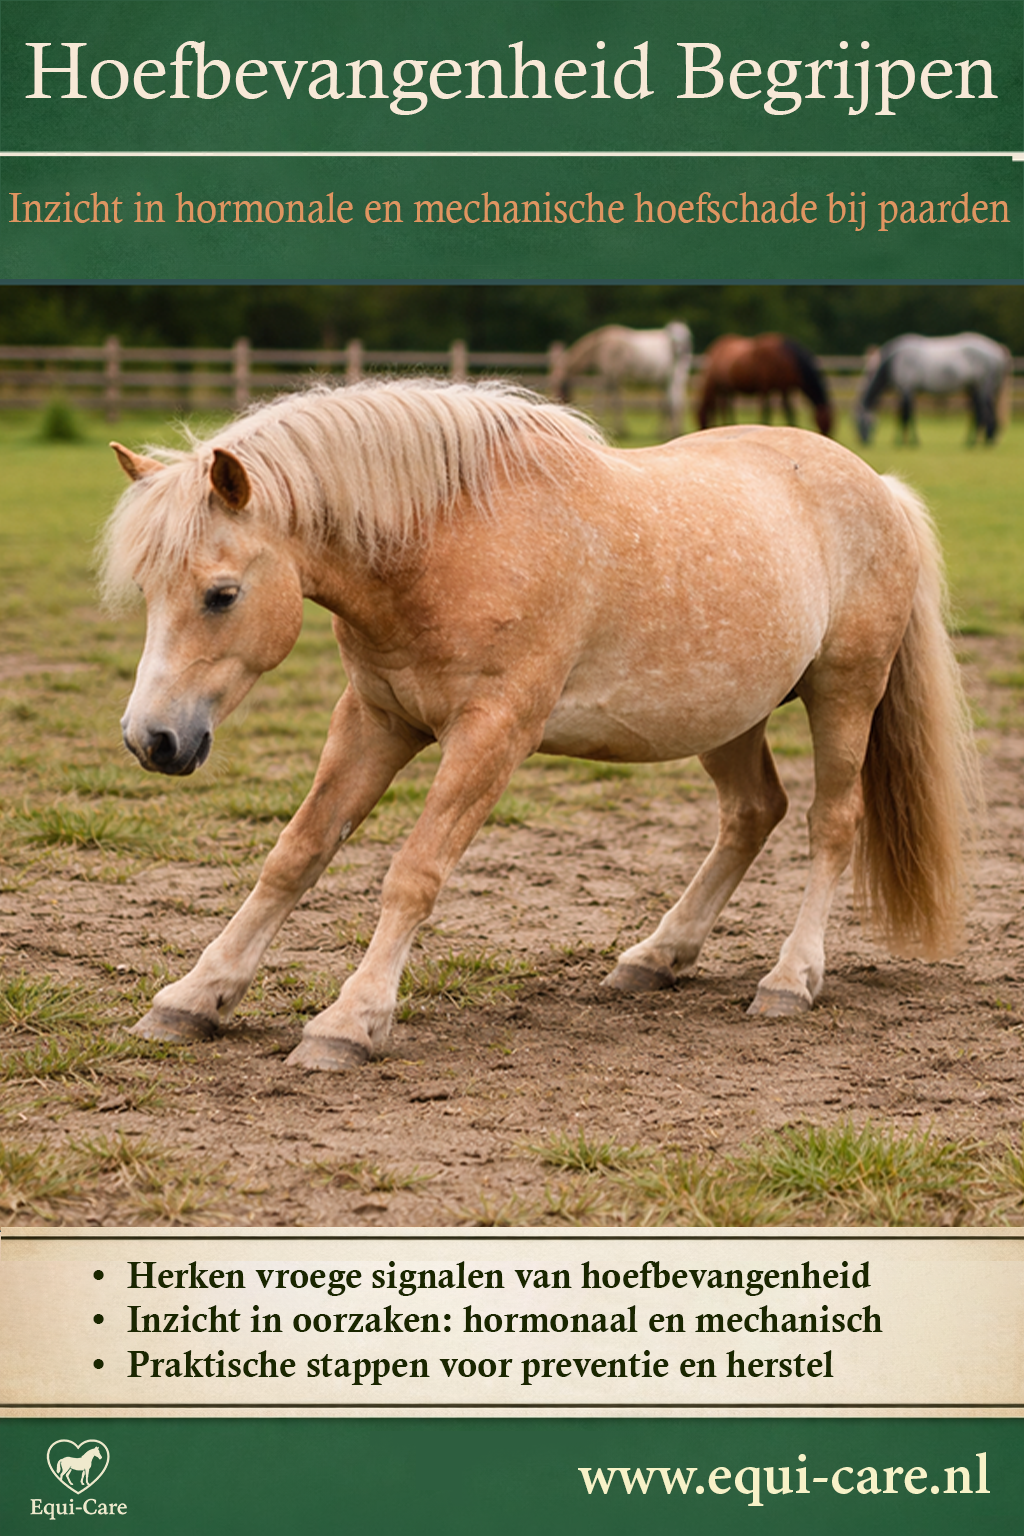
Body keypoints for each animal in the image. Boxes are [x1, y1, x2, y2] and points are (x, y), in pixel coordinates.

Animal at [102, 380, 977, 1074]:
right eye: (147, 589)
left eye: (221, 594)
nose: (153, 740)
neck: (449, 542)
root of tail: (877, 484)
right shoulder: (376, 720)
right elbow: (295, 854)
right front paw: (194, 998)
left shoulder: (493, 732)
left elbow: (413, 873)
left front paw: (350, 1023)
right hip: (729, 715)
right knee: (753, 813)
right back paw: (657, 957)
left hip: (844, 694)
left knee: (832, 822)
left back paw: (790, 980)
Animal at [555, 321, 693, 437]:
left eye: (561, 388)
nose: (562, 405)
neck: (601, 346)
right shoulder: (611, 378)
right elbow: (607, 399)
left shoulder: (612, 376)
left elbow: (614, 402)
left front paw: (621, 430)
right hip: (669, 379)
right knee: (672, 402)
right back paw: (670, 431)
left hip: (670, 378)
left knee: (672, 402)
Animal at [698, 334, 833, 435]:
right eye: (826, 420)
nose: (826, 435)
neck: (789, 358)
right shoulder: (769, 387)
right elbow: (772, 410)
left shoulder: (784, 388)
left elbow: (786, 410)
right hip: (723, 388)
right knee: (724, 407)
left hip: (726, 389)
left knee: (724, 407)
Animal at [856, 332, 1012, 445]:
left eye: (860, 422)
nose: (864, 442)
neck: (894, 359)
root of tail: (997, 350)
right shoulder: (906, 392)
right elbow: (904, 415)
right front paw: (903, 441)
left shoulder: (906, 389)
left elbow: (906, 415)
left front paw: (909, 442)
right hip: (975, 389)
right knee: (981, 413)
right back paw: (978, 440)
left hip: (983, 389)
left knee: (985, 414)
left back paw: (977, 442)